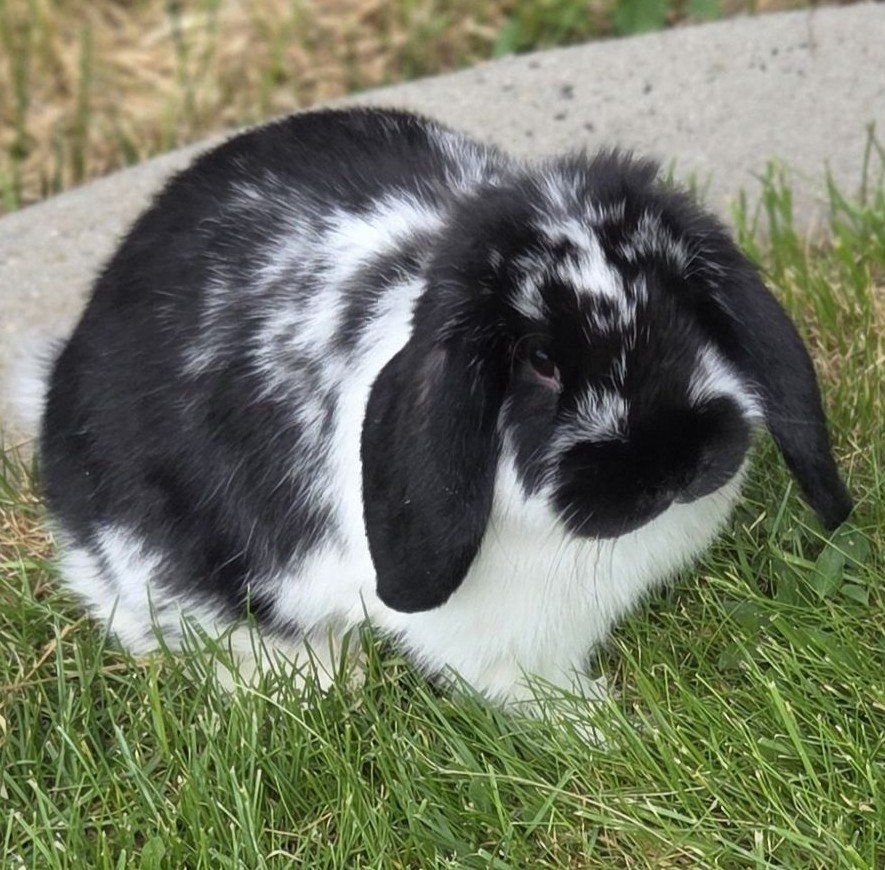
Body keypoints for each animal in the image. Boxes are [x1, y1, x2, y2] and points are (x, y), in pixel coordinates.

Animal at [22, 107, 851, 705]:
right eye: (540, 362)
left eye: (685, 310)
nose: (675, 460)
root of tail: (59, 388)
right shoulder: (502, 646)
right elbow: (529, 693)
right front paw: (605, 731)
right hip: (154, 563)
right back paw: (320, 679)